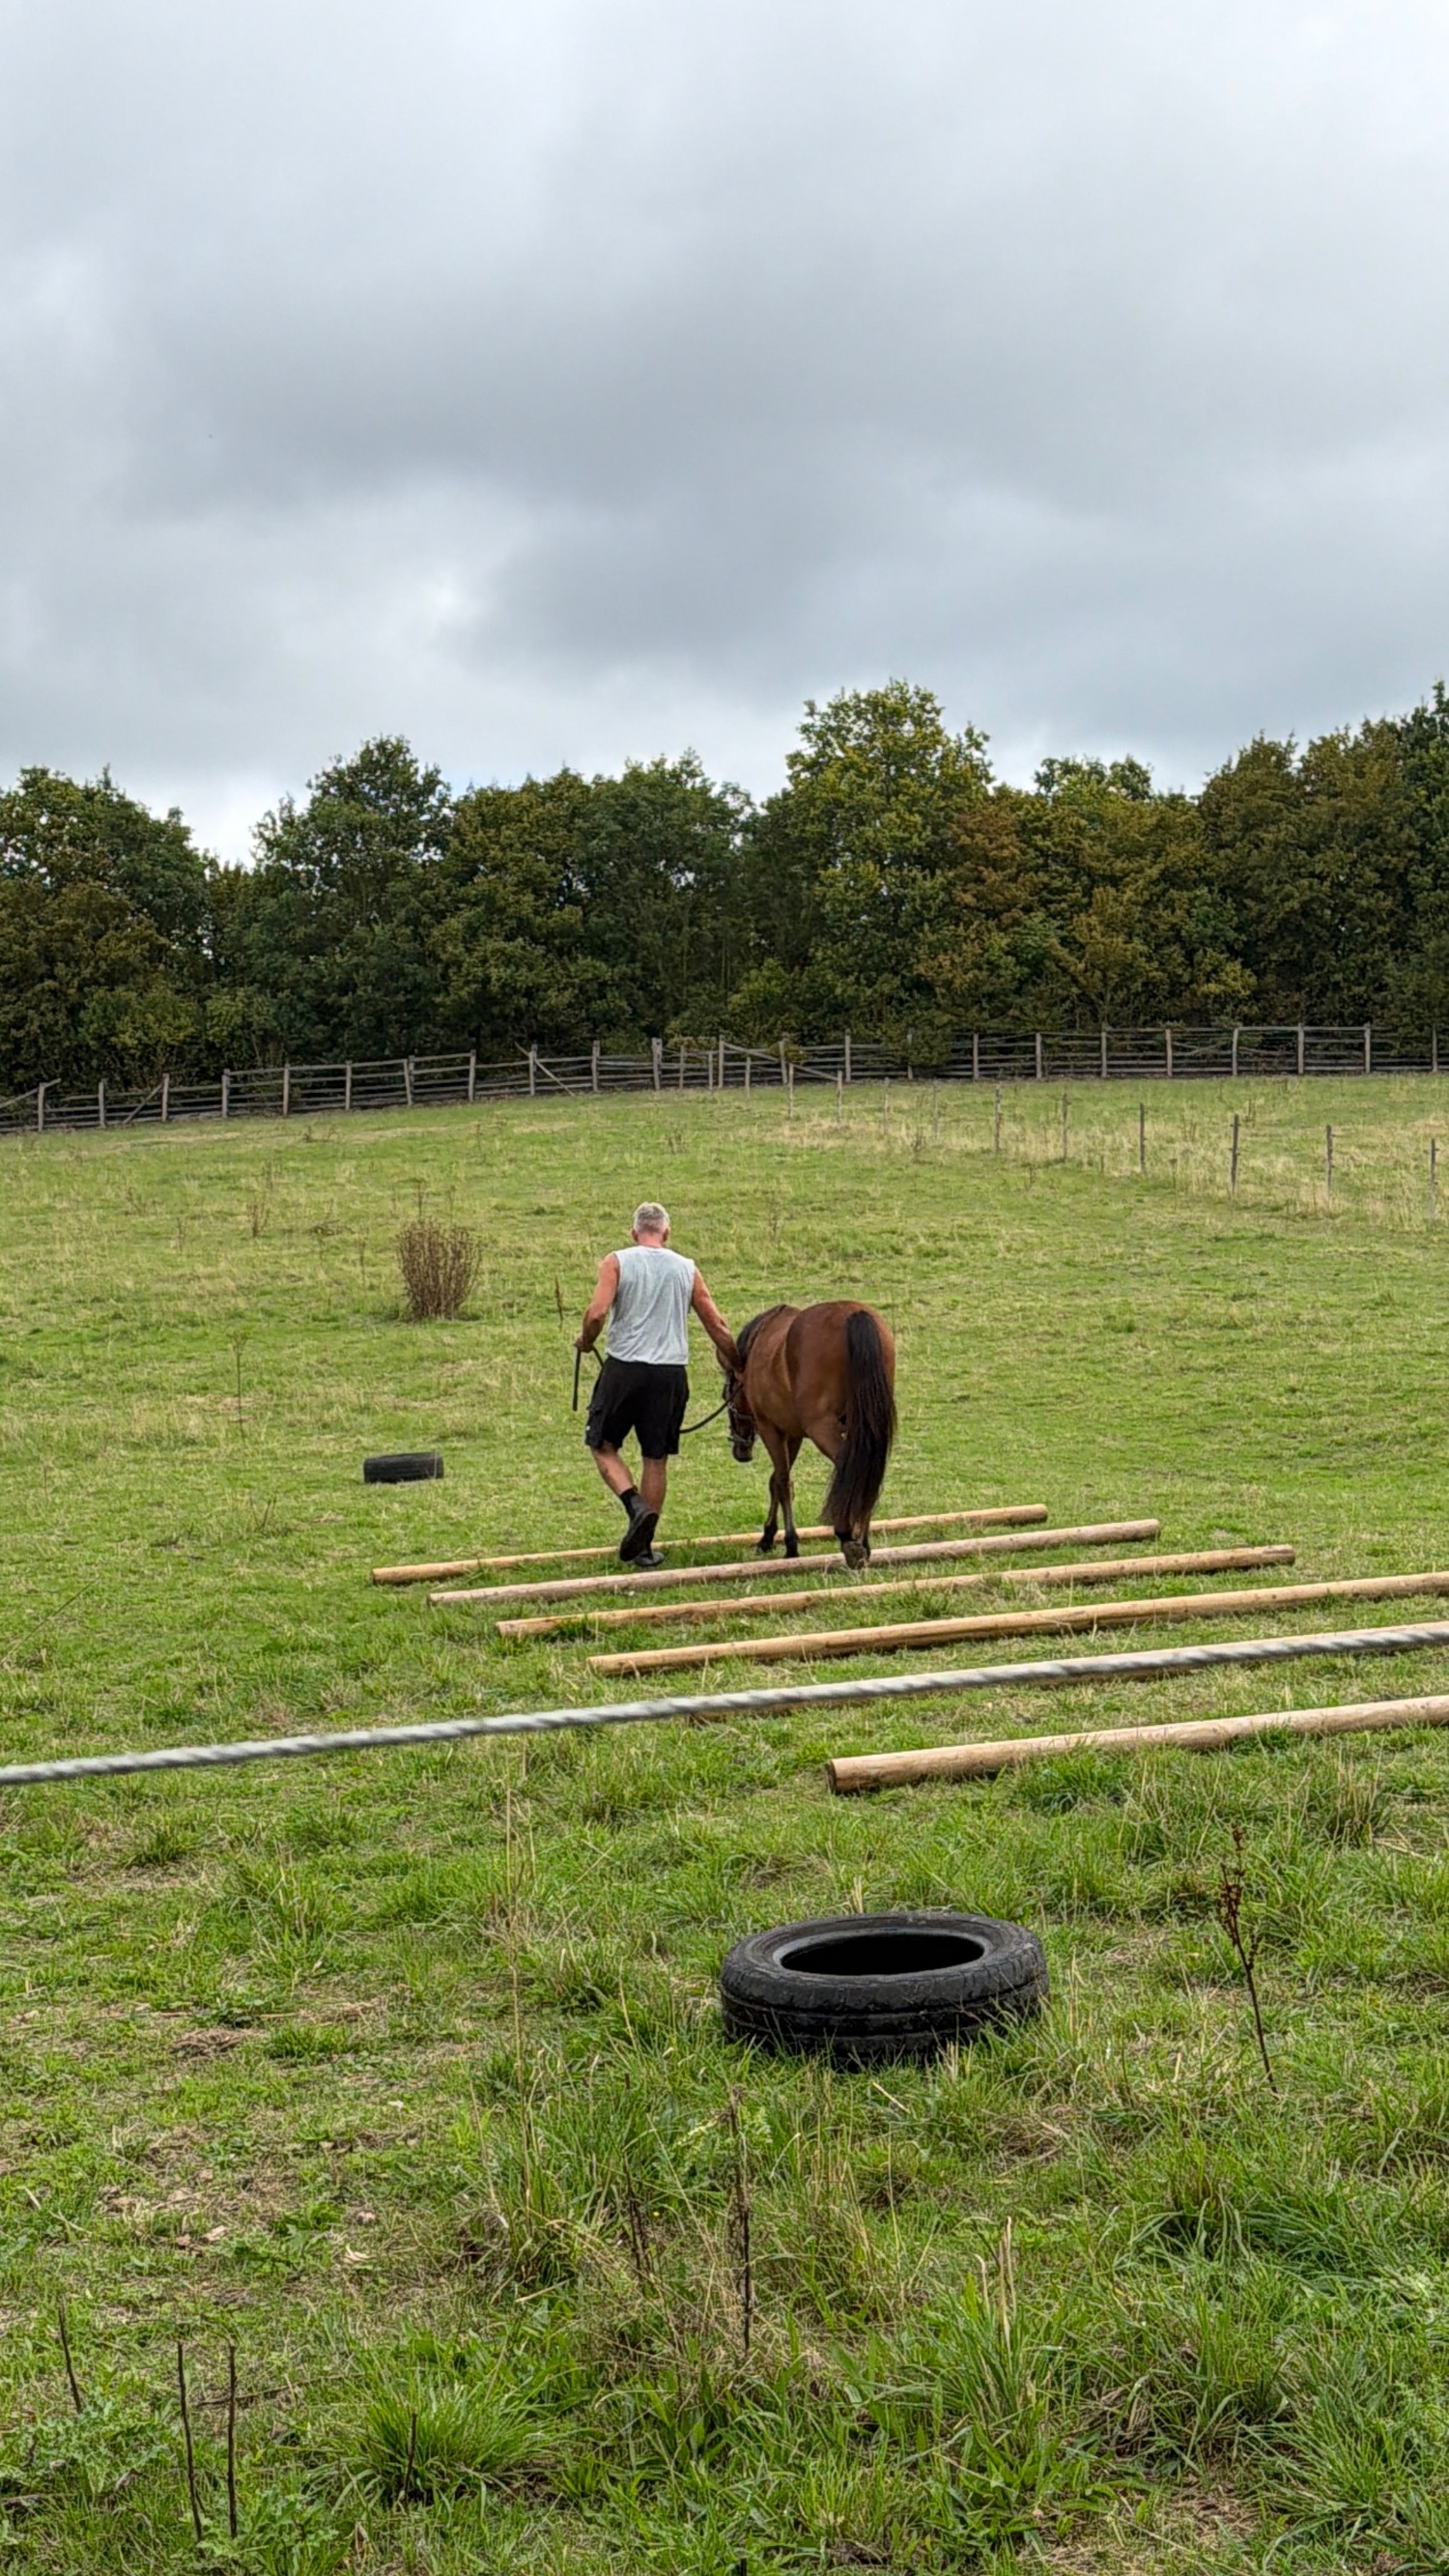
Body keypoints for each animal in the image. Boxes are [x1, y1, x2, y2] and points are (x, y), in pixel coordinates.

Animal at [723, 1301, 896, 1569]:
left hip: (822, 1428)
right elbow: (776, 1480)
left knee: (851, 1469)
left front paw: (791, 1544)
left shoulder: (771, 1429)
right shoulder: (792, 1434)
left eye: (727, 1395)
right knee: (869, 1473)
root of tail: (854, 1314)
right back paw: (863, 1542)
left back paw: (848, 1537)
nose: (741, 1451)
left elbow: (782, 1482)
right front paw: (767, 1537)